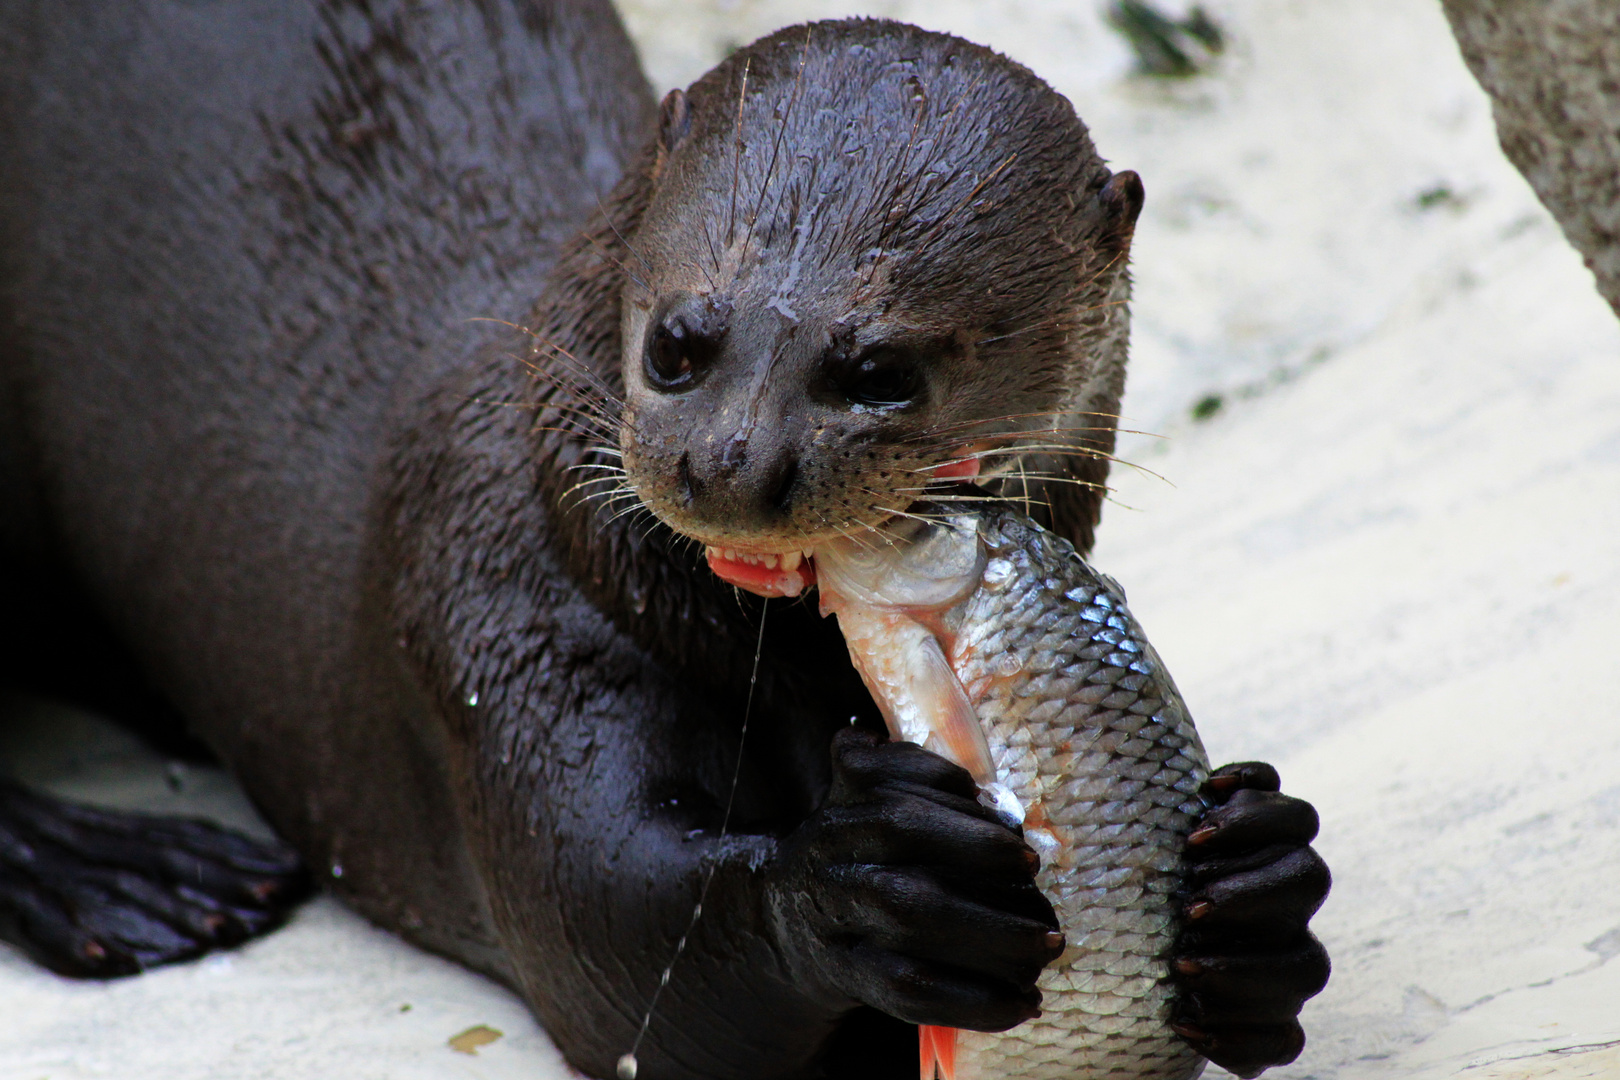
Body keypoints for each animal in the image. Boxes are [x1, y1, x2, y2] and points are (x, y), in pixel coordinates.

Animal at [3, 4, 1328, 1075]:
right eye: (678, 343)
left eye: (879, 373)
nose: (727, 466)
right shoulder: (488, 619)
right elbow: (612, 946)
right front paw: (865, 885)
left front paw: (1254, 885)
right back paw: (125, 877)